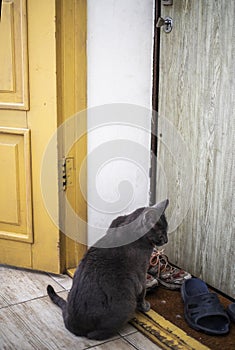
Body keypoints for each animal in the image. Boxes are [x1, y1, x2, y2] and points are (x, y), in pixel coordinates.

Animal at [47, 200, 169, 340]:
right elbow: (142, 292)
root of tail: (73, 323)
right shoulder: (141, 272)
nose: (167, 240)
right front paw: (145, 306)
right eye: (161, 234)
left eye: (167, 231)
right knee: (94, 334)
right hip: (126, 306)